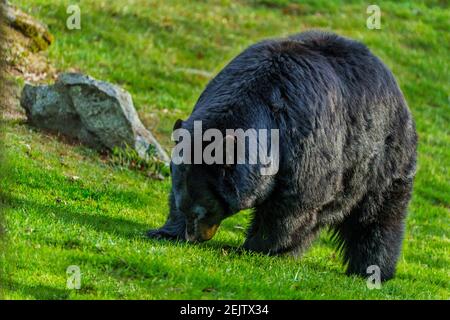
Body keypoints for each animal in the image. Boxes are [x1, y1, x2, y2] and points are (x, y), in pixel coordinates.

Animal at [149, 30, 418, 280]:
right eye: (186, 209)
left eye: (203, 210)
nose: (193, 237)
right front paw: (164, 231)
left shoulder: (303, 139)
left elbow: (293, 203)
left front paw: (254, 247)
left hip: (381, 159)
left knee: (377, 216)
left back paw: (372, 269)